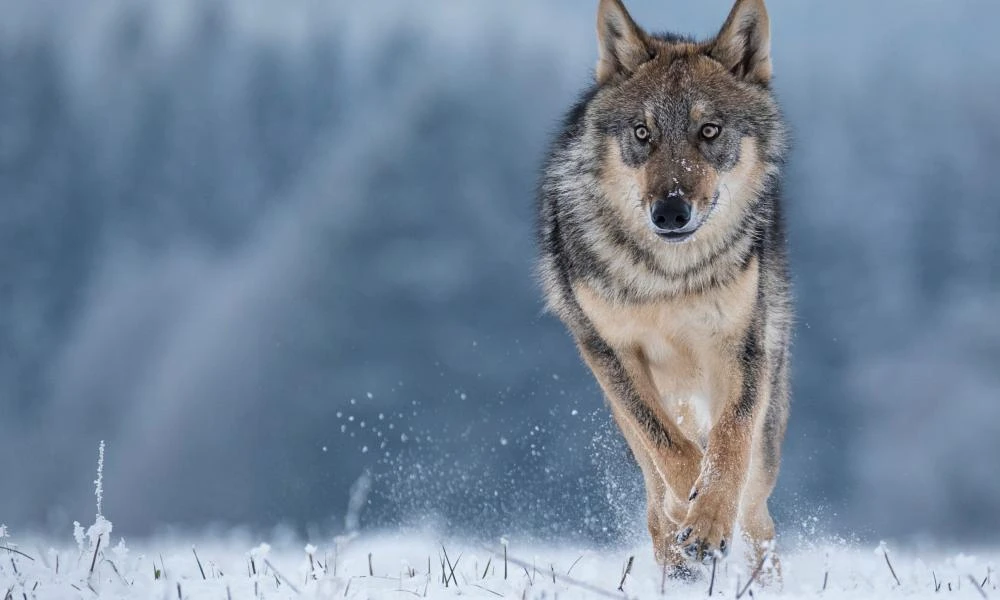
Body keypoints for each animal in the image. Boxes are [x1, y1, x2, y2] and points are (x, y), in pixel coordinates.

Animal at [536, 0, 792, 576]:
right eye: (642, 132)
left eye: (709, 130)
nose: (671, 212)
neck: (669, 279)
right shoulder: (610, 351)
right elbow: (669, 448)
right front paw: (688, 510)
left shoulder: (741, 347)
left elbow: (729, 444)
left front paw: (710, 517)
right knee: (654, 490)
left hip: (767, 413)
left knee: (759, 516)